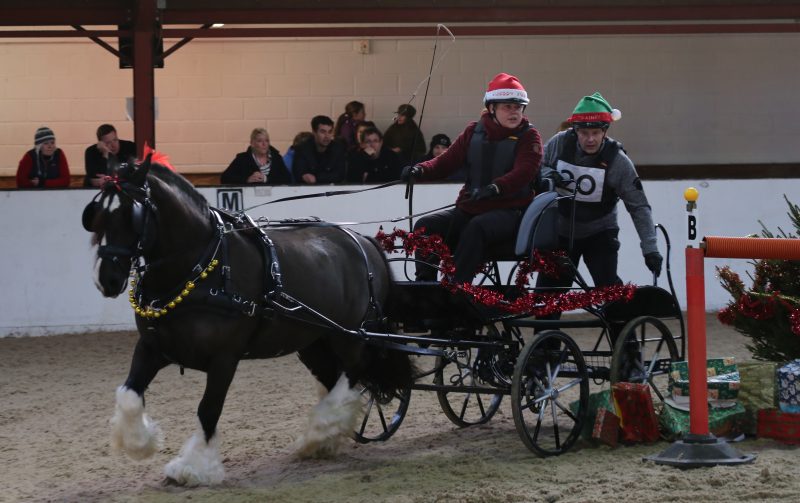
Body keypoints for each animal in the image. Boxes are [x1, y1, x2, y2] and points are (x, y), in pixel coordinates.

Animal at [83, 158, 412, 488]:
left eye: (130, 214)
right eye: (96, 216)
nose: (105, 279)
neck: (201, 266)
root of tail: (364, 242)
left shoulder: (224, 358)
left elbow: (208, 409)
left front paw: (194, 468)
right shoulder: (153, 347)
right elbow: (128, 395)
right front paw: (140, 444)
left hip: (351, 336)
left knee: (352, 375)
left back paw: (318, 433)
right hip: (314, 343)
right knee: (336, 382)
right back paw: (323, 439)